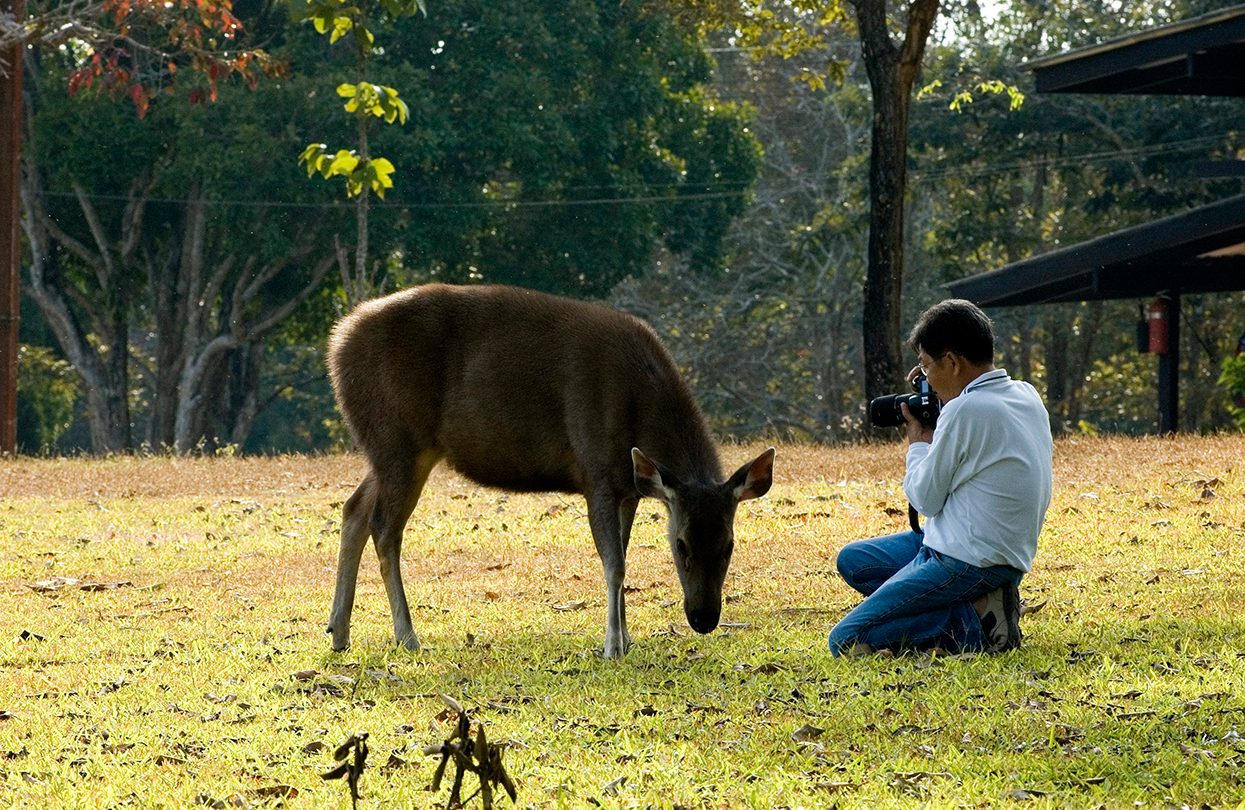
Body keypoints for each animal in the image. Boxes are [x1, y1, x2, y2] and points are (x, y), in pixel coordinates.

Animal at [328, 282, 776, 656]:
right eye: (680, 544)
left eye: (729, 544)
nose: (704, 618)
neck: (638, 405)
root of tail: (337, 344)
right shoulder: (594, 469)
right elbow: (614, 564)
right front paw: (612, 645)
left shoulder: (629, 485)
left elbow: (623, 554)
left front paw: (626, 638)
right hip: (399, 438)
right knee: (384, 528)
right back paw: (407, 636)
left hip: (388, 448)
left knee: (354, 509)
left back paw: (339, 632)